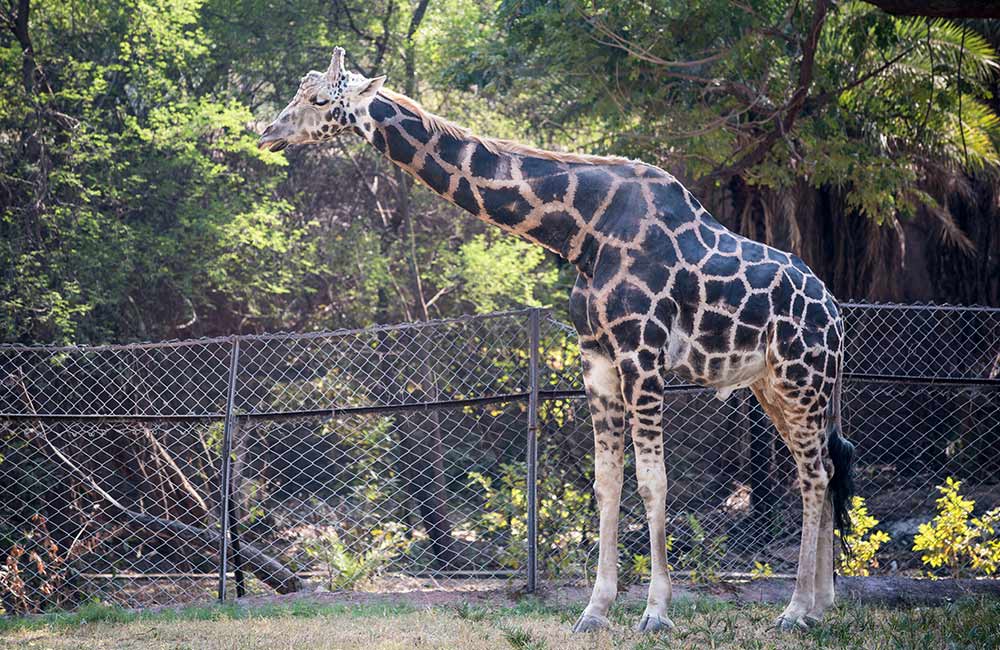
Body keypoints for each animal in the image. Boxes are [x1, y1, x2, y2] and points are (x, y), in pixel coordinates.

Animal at [262, 48, 856, 632]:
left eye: (320, 100)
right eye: (299, 92)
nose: (267, 131)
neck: (582, 231)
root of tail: (835, 313)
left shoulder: (642, 353)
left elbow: (653, 482)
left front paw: (656, 613)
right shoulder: (596, 356)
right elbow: (606, 484)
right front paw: (595, 610)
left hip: (803, 379)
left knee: (812, 475)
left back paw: (795, 610)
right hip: (774, 387)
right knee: (826, 468)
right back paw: (823, 604)